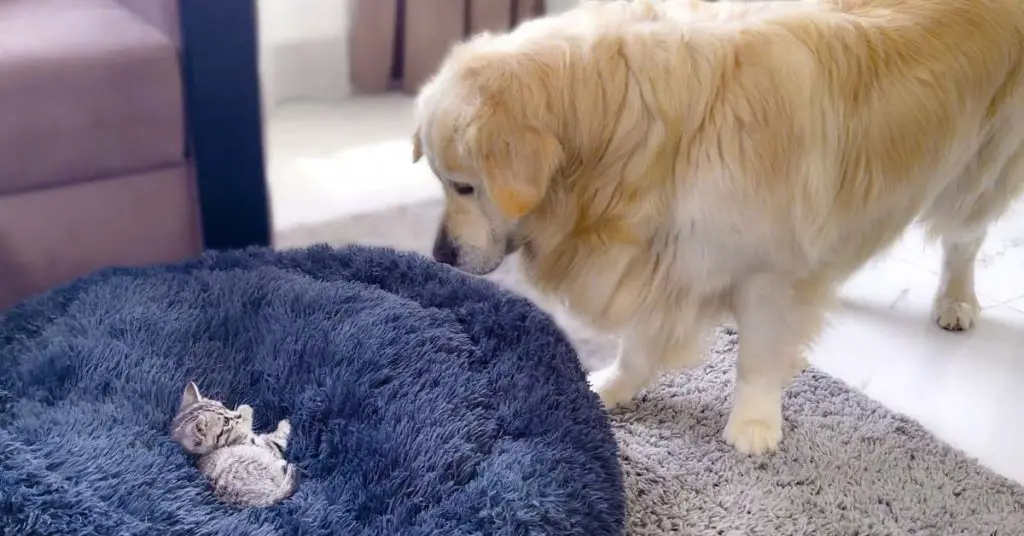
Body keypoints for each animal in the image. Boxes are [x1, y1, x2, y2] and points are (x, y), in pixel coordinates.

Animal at [169, 381, 299, 508]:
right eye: (226, 422)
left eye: (223, 406)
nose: (238, 415)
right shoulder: (259, 443)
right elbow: (275, 439)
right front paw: (284, 423)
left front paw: (243, 410)